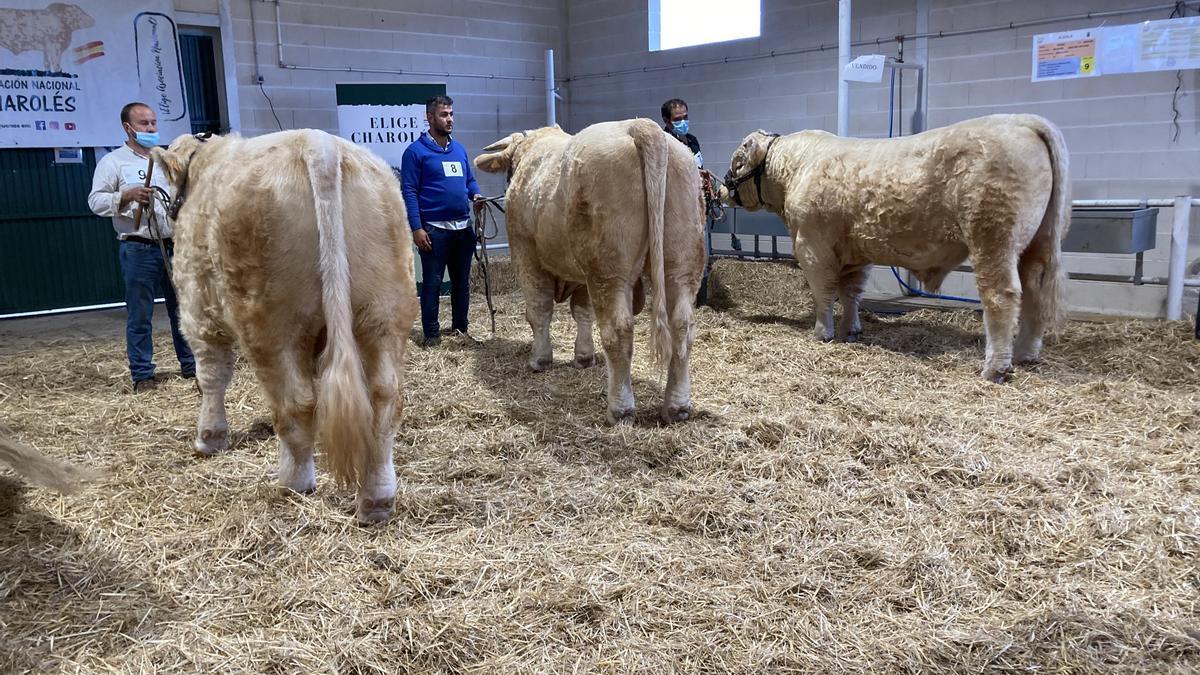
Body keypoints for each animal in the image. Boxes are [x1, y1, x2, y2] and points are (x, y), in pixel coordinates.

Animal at [152, 130, 420, 521]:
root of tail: (320, 145)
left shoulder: (198, 309)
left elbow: (212, 376)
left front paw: (209, 438)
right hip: (385, 308)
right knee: (384, 398)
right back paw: (377, 498)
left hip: (271, 319)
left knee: (296, 403)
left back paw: (294, 483)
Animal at [472, 118, 705, 417]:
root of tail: (641, 125)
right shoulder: (582, 275)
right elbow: (582, 312)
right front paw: (583, 356)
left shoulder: (526, 255)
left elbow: (538, 310)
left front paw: (540, 359)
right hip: (681, 264)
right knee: (682, 326)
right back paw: (677, 406)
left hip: (608, 271)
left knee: (618, 330)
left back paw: (620, 408)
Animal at [720, 112, 1070, 381]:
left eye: (737, 162)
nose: (722, 189)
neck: (796, 169)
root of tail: (1020, 119)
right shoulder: (855, 252)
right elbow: (852, 292)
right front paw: (852, 330)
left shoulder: (812, 245)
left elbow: (824, 293)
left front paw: (822, 332)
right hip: (1038, 242)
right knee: (1035, 293)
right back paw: (1025, 354)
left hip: (993, 237)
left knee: (1001, 296)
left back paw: (995, 368)